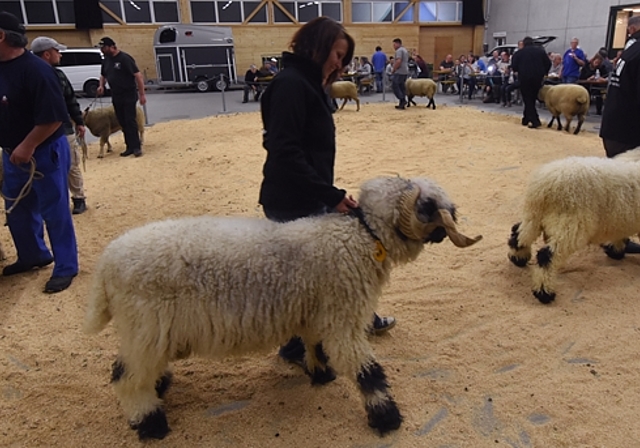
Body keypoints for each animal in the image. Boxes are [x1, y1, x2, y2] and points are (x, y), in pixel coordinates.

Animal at [84, 175, 482, 440]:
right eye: (431, 208)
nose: (451, 231)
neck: (361, 236)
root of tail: (105, 265)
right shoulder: (344, 317)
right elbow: (367, 370)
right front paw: (387, 418)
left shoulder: (316, 309)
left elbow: (314, 343)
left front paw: (320, 373)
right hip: (146, 325)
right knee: (124, 377)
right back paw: (150, 423)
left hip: (149, 331)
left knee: (136, 370)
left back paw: (159, 388)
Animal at [508, 148, 640, 304]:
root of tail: (546, 184)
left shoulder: (622, 218)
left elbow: (620, 234)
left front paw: (615, 251)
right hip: (571, 226)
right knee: (547, 256)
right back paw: (544, 292)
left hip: (534, 216)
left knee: (518, 234)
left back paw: (518, 259)